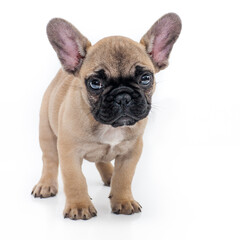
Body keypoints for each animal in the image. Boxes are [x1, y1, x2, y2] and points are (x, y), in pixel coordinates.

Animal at [31, 12, 182, 219]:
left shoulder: (131, 151)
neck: (108, 127)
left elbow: (124, 178)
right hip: (46, 131)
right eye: (95, 83)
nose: (123, 96)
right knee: (50, 159)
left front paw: (123, 200)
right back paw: (46, 184)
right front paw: (79, 206)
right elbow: (75, 180)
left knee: (102, 160)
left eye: (145, 78)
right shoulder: (69, 153)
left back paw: (110, 174)